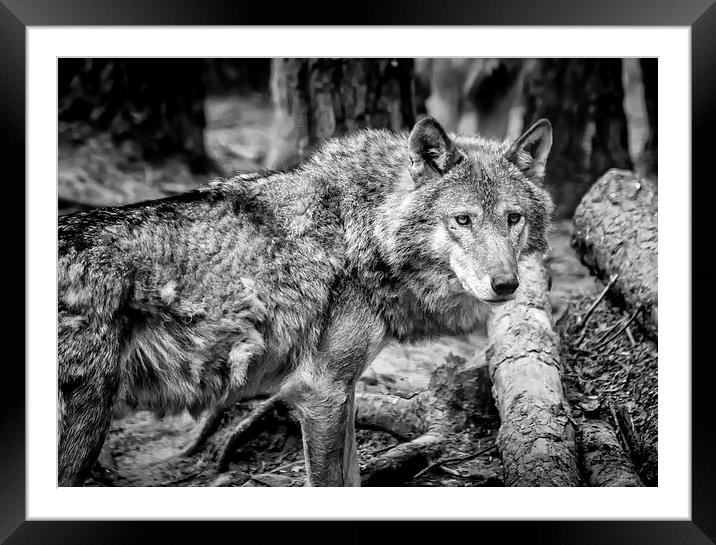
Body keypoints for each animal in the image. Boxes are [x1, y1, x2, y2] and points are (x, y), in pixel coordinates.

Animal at [58, 115, 556, 484]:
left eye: (513, 218)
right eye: (463, 220)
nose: (506, 285)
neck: (363, 232)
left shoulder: (343, 389)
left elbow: (353, 479)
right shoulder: (319, 390)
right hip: (86, 429)